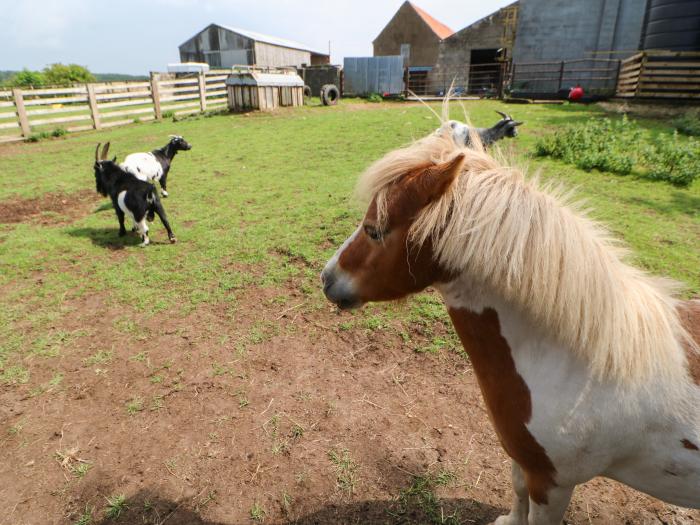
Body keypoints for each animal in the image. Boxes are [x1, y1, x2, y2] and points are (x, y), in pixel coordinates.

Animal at [322, 119, 700, 524]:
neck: (577, 365)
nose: (326, 278)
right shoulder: (525, 460)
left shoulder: (553, 483)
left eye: (374, 230)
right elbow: (516, 486)